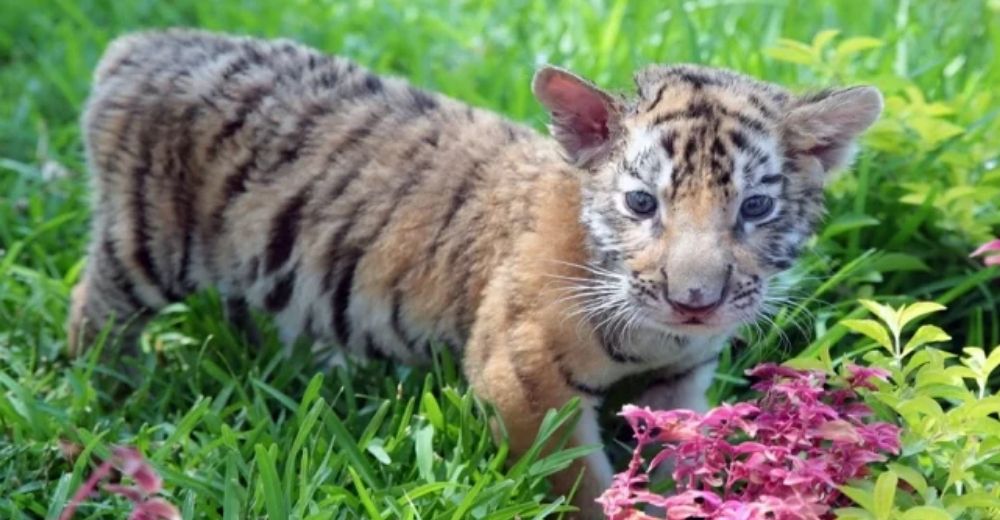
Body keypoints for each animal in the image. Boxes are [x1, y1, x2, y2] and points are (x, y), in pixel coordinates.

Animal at [68, 28, 884, 516]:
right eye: (642, 203)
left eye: (755, 208)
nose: (695, 302)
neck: (656, 334)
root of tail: (144, 41)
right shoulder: (520, 375)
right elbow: (576, 480)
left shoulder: (677, 379)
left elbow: (677, 452)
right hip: (142, 250)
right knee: (93, 309)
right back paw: (100, 396)